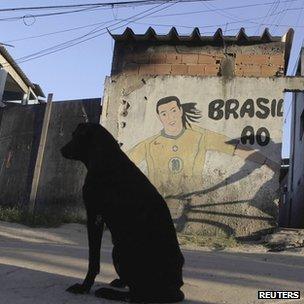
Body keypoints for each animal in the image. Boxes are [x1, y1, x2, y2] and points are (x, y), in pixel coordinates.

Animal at [60, 123, 184, 302]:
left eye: (75, 136)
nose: (61, 149)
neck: (106, 158)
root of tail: (176, 290)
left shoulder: (94, 216)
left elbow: (93, 260)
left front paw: (84, 287)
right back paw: (119, 283)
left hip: (119, 251)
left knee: (137, 295)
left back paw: (108, 292)